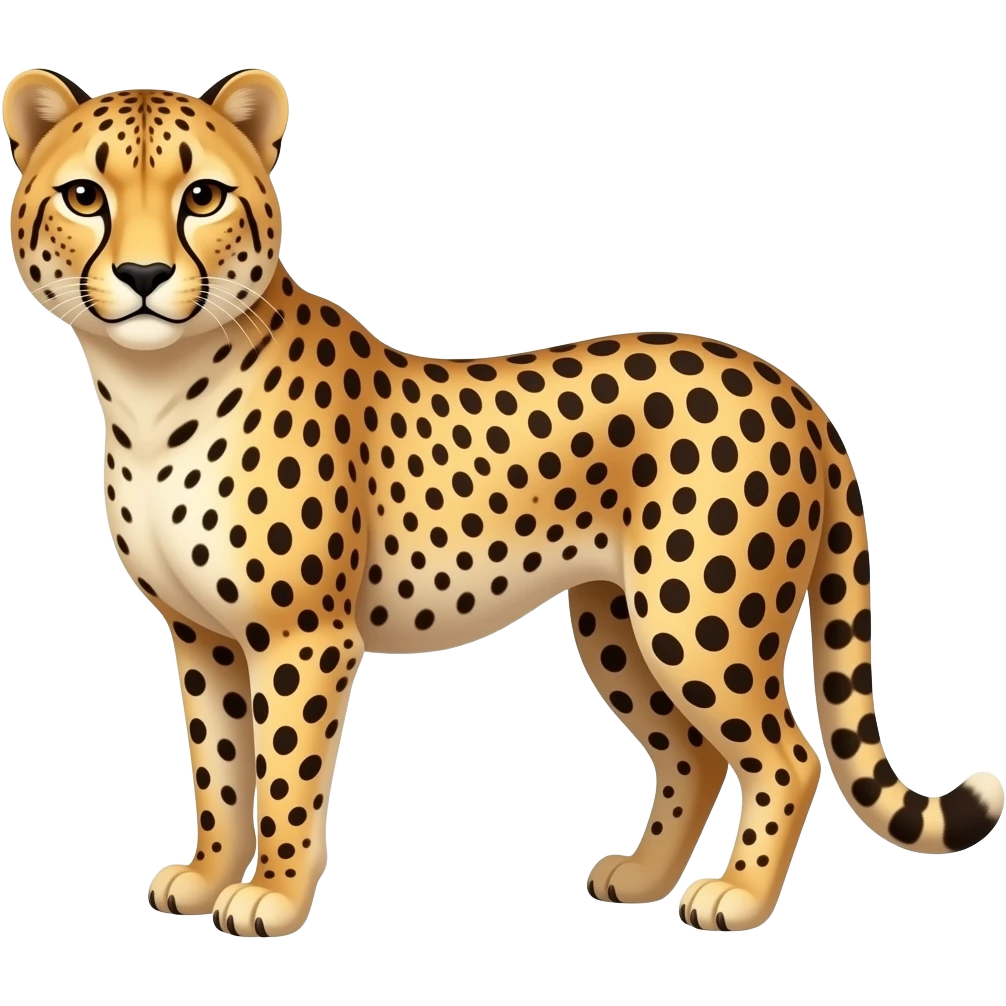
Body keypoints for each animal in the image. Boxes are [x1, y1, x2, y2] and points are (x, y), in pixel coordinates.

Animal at [5, 66, 1003, 937]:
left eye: (202, 198)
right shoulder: (202, 635)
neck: (151, 386)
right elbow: (218, 769)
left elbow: (284, 775)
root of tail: (788, 384)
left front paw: (275, 898)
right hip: (618, 623)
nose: (141, 277)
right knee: (695, 752)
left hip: (699, 620)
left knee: (787, 757)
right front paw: (209, 875)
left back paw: (739, 899)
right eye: (86, 197)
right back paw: (643, 876)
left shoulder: (302, 637)